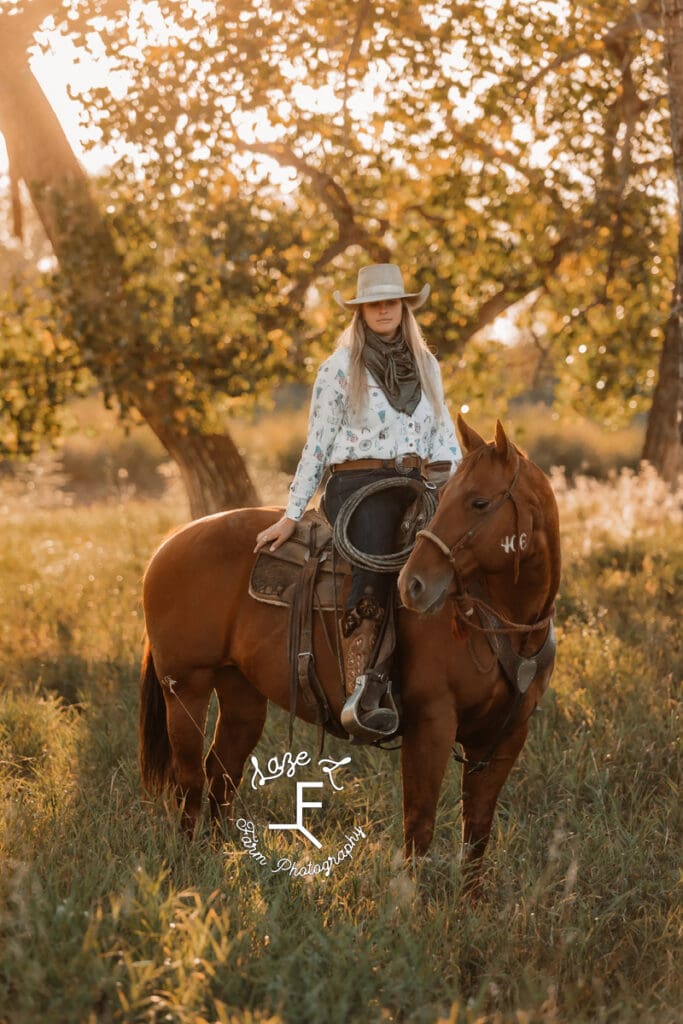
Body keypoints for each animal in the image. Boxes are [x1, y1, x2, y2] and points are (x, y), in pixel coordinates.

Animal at [140, 415, 561, 872]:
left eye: (480, 503)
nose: (413, 585)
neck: (503, 622)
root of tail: (167, 544)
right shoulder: (431, 725)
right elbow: (419, 827)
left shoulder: (506, 736)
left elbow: (477, 835)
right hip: (186, 688)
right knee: (190, 778)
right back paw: (189, 860)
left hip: (241, 694)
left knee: (221, 771)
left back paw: (223, 857)